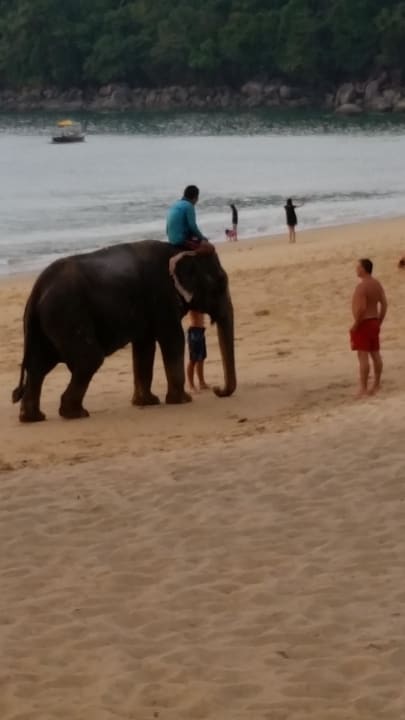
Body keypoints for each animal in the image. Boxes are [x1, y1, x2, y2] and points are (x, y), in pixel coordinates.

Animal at [12, 240, 236, 422]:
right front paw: (182, 400)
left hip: (45, 324)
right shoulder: (161, 296)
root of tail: (36, 290)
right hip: (66, 314)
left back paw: (33, 417)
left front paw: (147, 402)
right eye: (221, 281)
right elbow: (172, 338)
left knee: (38, 366)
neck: (180, 250)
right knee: (88, 359)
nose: (217, 389)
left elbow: (144, 345)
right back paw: (75, 413)